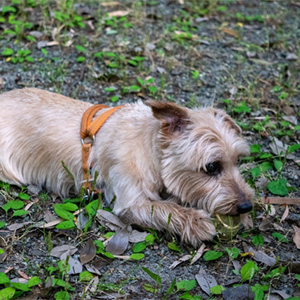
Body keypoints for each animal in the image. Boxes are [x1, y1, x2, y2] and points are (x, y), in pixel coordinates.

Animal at [0, 88, 254, 245]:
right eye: (211, 167)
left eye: (237, 161)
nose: (246, 206)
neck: (151, 148)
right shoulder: (132, 202)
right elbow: (167, 209)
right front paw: (197, 222)